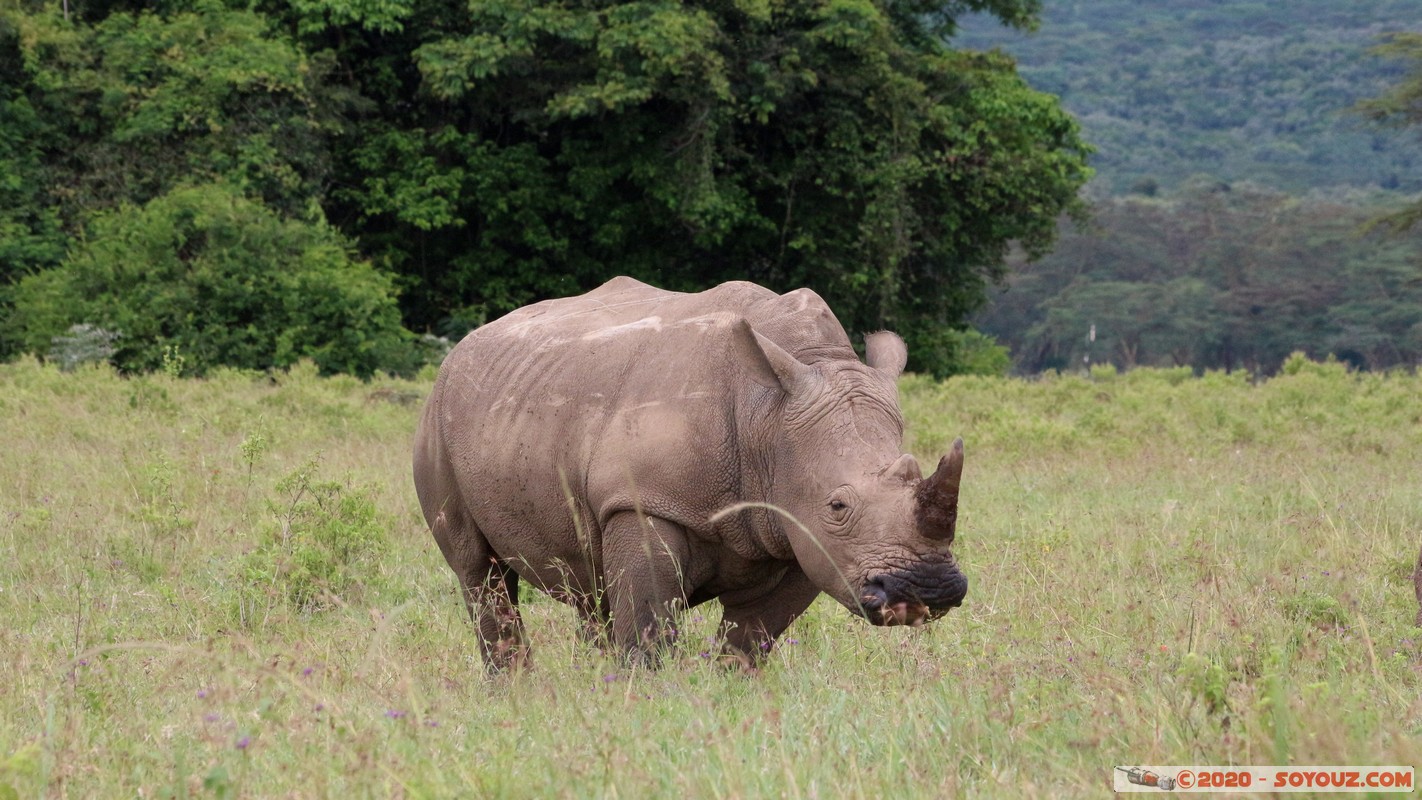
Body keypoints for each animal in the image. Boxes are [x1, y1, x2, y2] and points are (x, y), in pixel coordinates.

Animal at [413, 277, 968, 670]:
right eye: (838, 505)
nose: (928, 590)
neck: (766, 419)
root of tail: (461, 349)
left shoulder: (799, 533)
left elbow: (749, 639)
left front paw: (728, 694)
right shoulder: (645, 502)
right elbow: (648, 628)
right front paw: (646, 698)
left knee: (590, 586)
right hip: (440, 418)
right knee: (478, 573)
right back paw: (517, 691)